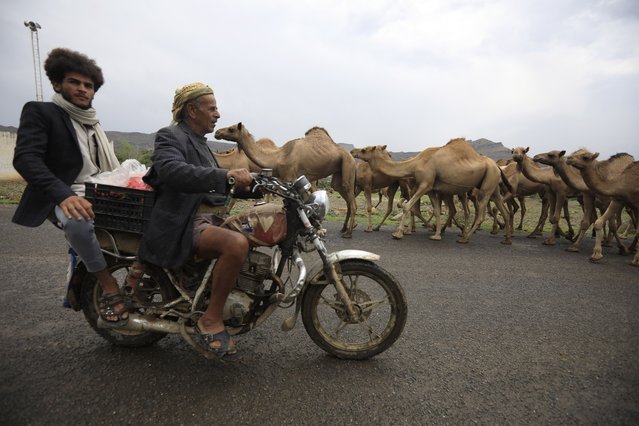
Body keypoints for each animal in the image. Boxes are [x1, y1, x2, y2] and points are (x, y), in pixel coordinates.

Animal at [216, 121, 360, 238]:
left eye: (231, 129)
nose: (217, 132)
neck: (278, 157)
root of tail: (350, 154)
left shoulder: (290, 179)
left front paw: (314, 229)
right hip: (338, 174)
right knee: (345, 196)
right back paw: (345, 228)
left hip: (348, 165)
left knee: (352, 201)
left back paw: (348, 233)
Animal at [352, 138, 512, 241]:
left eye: (364, 149)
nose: (353, 151)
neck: (415, 164)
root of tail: (497, 166)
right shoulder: (432, 189)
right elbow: (435, 210)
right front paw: (436, 234)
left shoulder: (425, 184)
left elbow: (407, 206)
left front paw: (397, 234)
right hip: (493, 186)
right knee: (503, 210)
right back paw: (506, 239)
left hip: (486, 185)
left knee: (480, 213)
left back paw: (465, 237)